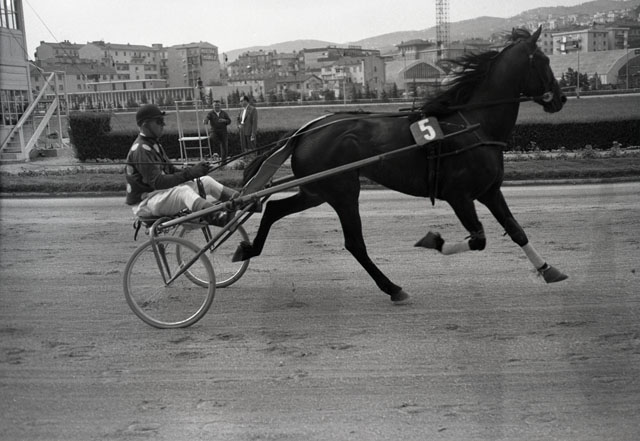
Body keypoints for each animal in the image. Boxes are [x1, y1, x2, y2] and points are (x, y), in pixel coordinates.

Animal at [233, 27, 568, 303]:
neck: (473, 125)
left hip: (316, 190)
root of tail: (306, 130)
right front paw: (433, 240)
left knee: (274, 209)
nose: (560, 99)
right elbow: (478, 240)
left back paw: (248, 248)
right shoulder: (459, 196)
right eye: (544, 61)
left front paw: (548, 269)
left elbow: (516, 230)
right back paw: (392, 287)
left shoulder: (489, 191)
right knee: (354, 243)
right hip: (343, 192)